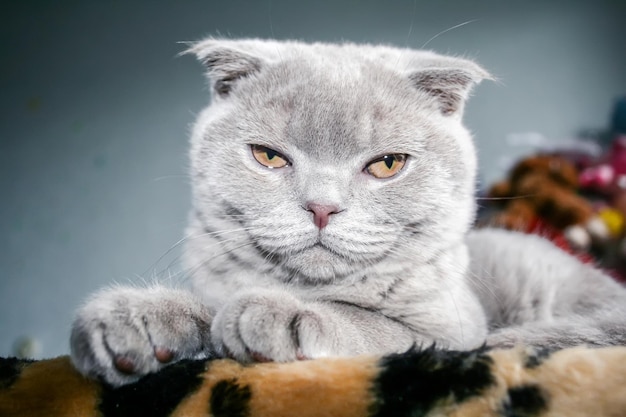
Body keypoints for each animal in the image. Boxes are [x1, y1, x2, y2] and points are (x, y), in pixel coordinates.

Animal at [68, 37, 624, 386]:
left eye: (387, 164)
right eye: (269, 156)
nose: (322, 207)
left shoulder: (452, 330)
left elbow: (373, 324)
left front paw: (280, 315)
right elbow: (207, 307)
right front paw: (134, 319)